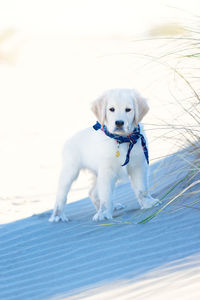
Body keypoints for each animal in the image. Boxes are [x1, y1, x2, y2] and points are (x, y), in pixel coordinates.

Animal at [49, 89, 159, 223]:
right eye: (111, 109)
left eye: (128, 109)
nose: (119, 123)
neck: (122, 140)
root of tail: (69, 140)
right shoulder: (107, 171)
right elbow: (106, 195)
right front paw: (104, 213)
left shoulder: (138, 166)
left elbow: (141, 188)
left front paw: (148, 202)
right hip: (70, 171)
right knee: (61, 195)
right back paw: (57, 215)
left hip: (97, 172)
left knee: (93, 192)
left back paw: (112, 206)